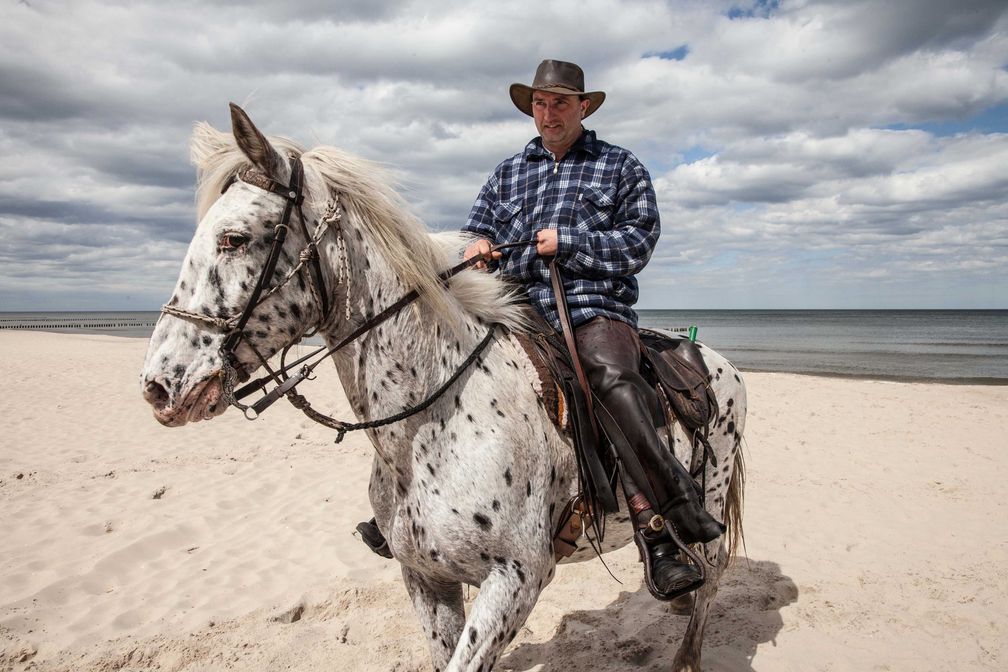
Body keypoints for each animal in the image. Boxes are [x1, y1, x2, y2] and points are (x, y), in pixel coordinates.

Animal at [140, 105, 749, 672]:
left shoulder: (517, 581)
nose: (158, 386)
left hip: (709, 492)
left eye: (233, 238)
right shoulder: (426, 578)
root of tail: (716, 361)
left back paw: (686, 643)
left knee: (714, 569)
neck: (431, 421)